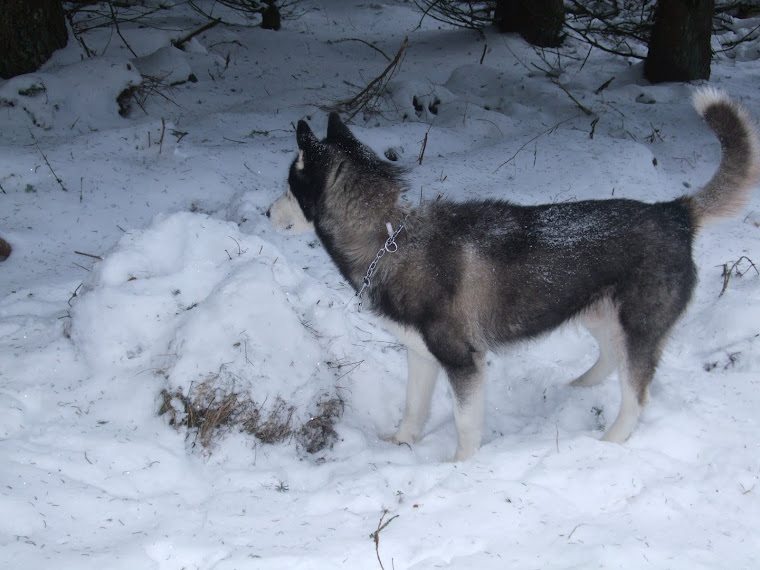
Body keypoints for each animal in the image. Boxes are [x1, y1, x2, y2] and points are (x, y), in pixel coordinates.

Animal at [270, 90, 760, 462]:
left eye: (289, 187)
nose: (266, 212)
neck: (389, 237)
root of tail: (673, 211)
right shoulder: (421, 355)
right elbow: (412, 407)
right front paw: (403, 441)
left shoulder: (463, 362)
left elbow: (466, 424)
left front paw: (460, 466)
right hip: (597, 312)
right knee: (609, 358)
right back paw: (576, 387)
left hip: (636, 326)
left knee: (636, 396)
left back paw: (608, 443)